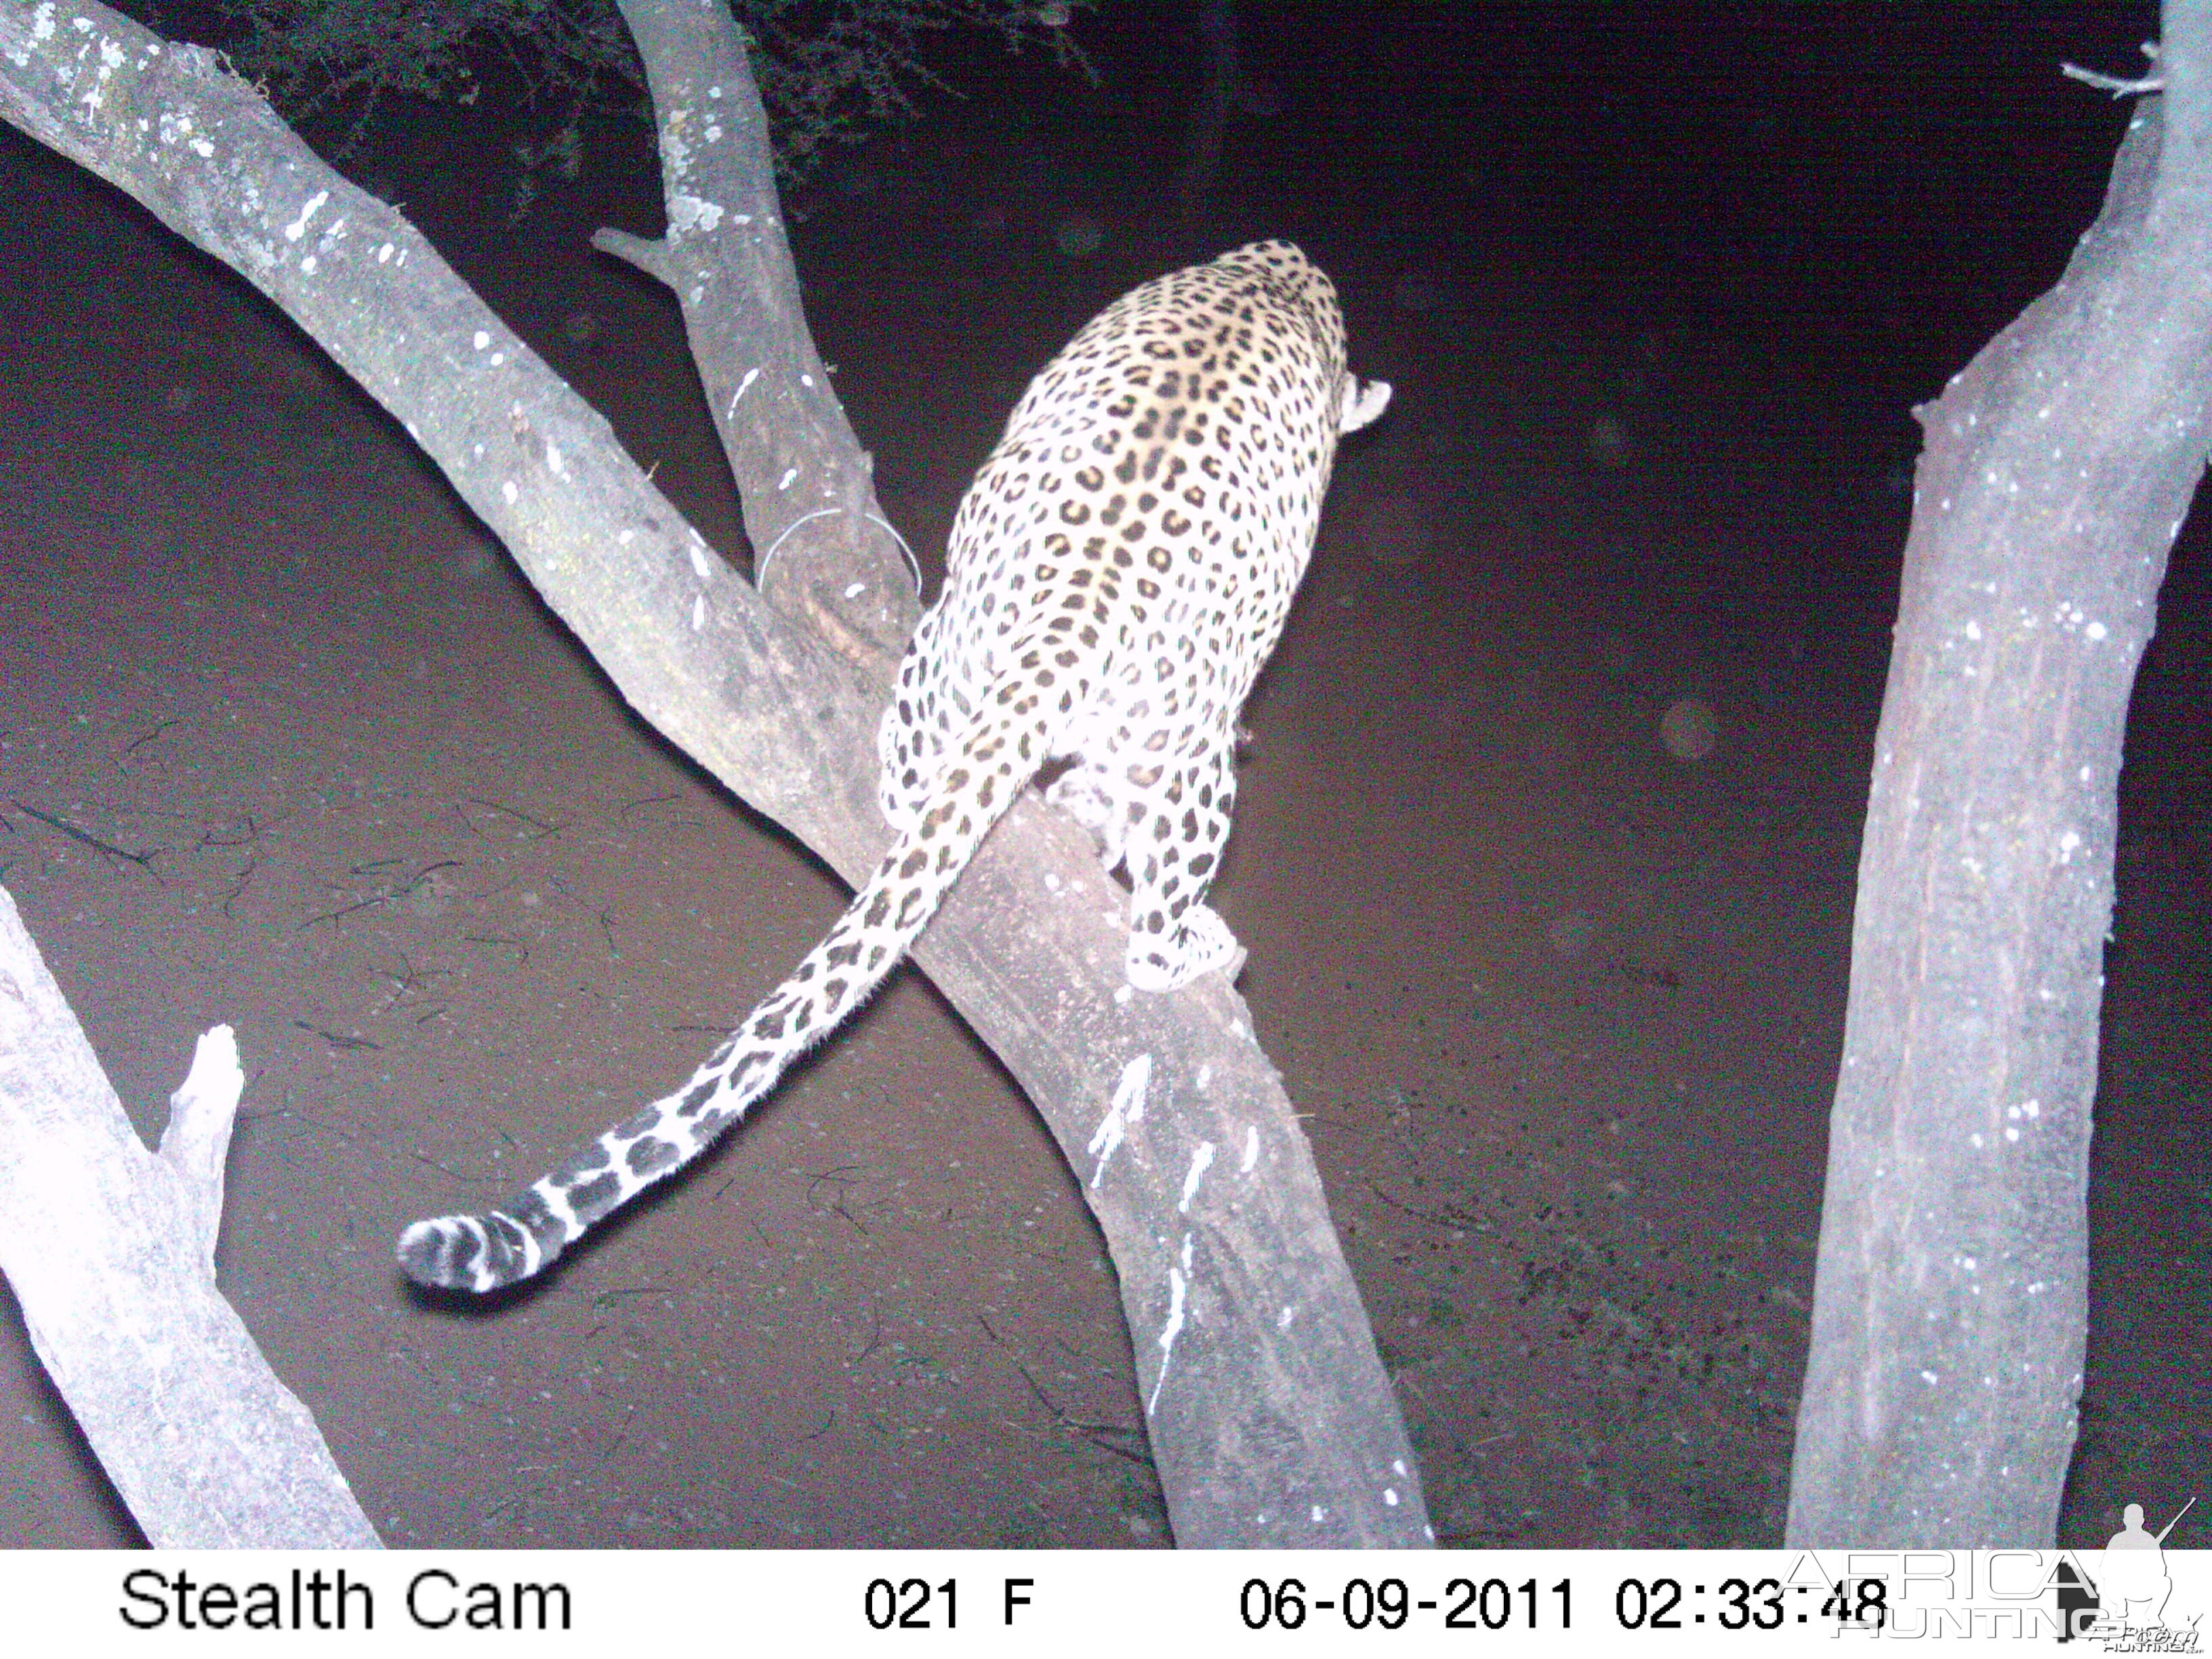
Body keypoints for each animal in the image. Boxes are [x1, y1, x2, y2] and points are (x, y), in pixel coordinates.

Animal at [403, 240, 1380, 1292]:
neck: (1274, 275)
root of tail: (1079, 599)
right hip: (1191, 744)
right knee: (1148, 941)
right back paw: (1201, 946)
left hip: (954, 635)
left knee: (916, 777)